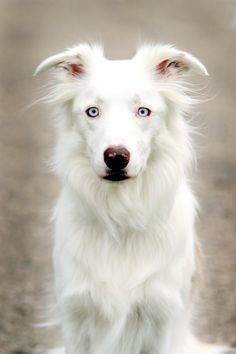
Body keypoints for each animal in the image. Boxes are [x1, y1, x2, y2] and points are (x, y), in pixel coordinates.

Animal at [36, 43, 230, 354]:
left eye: (143, 111)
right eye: (93, 111)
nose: (116, 157)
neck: (121, 216)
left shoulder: (160, 316)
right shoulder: (75, 314)